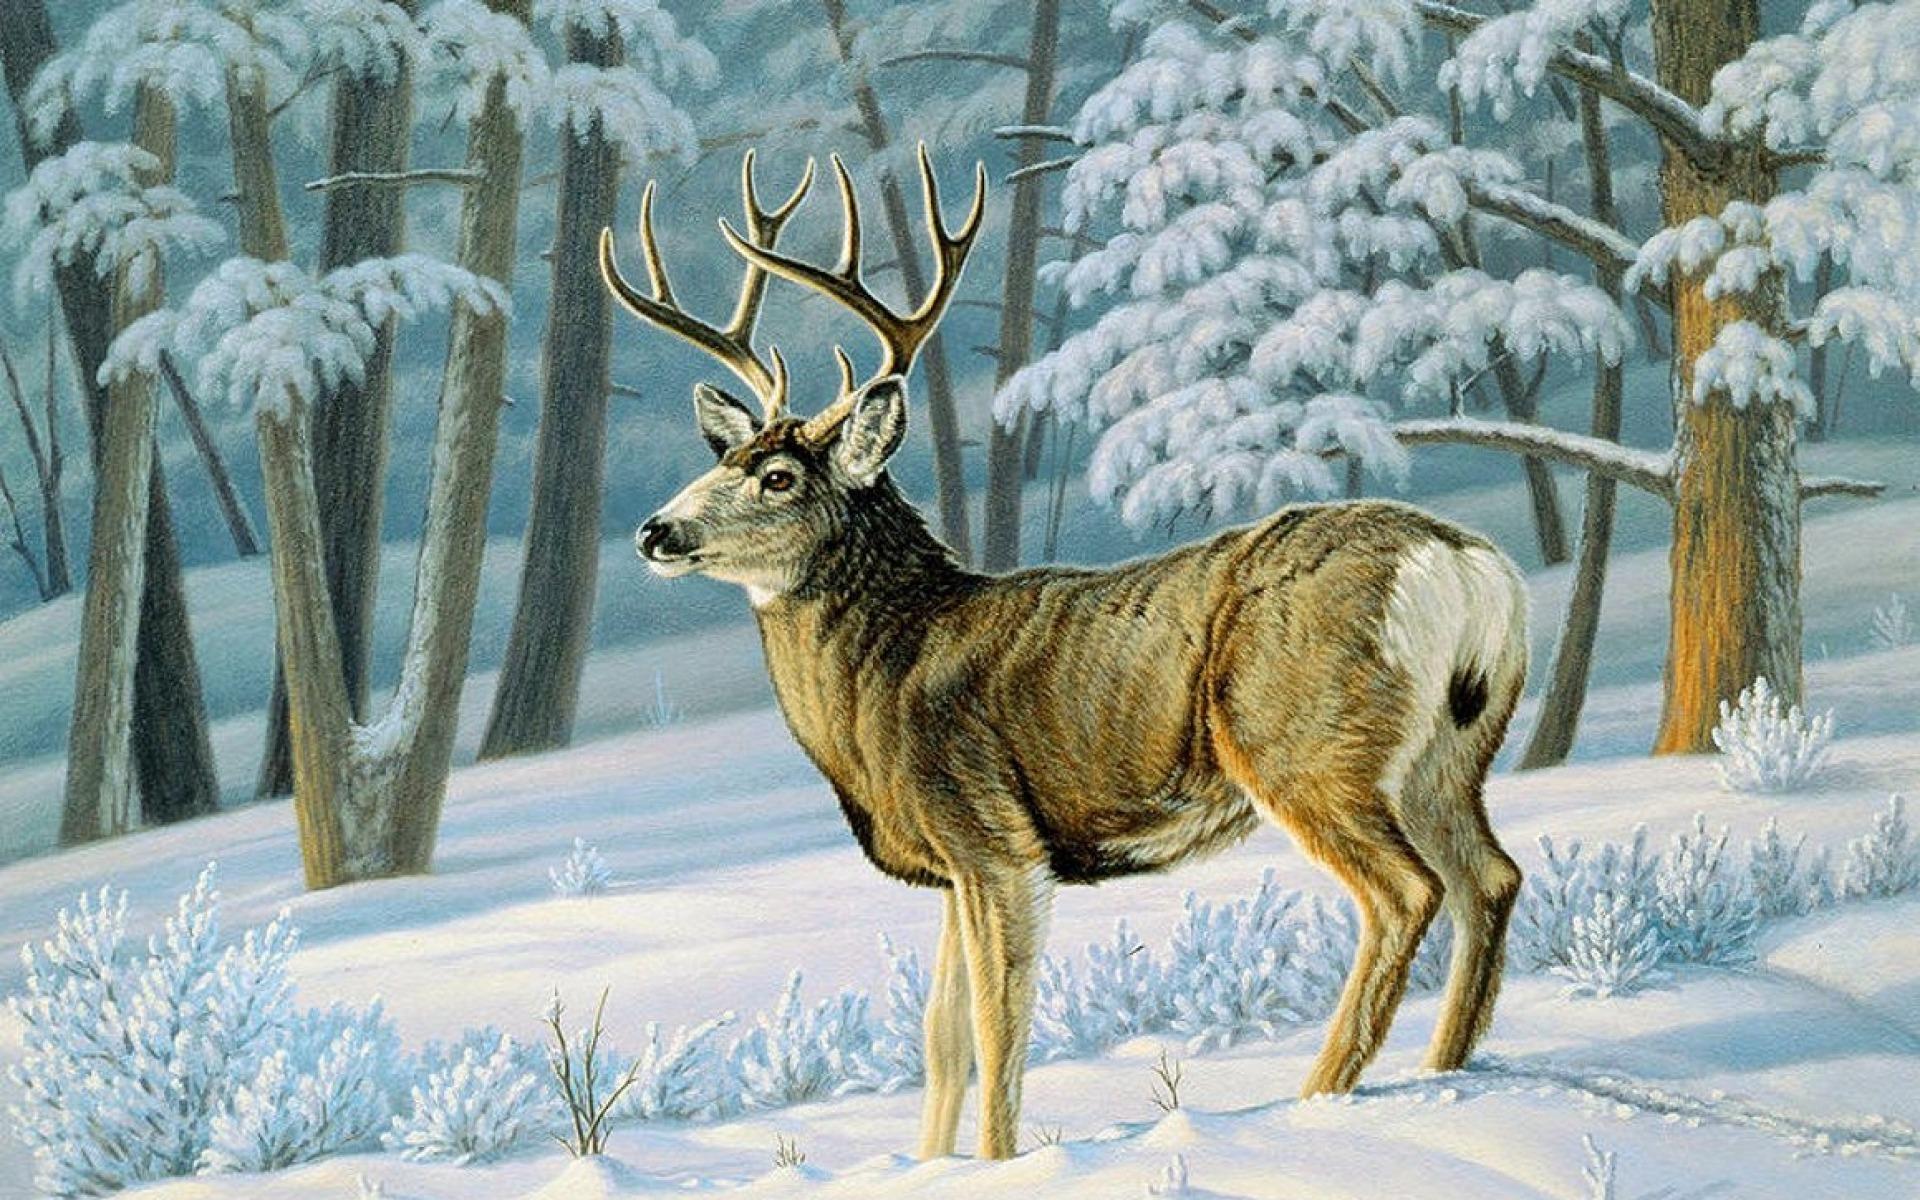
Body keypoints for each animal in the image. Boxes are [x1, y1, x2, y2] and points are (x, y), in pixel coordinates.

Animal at [599, 147, 1530, 1162]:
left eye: (777, 476)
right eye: (722, 460)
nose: (655, 531)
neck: (886, 671)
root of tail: (1468, 569)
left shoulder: (992, 834)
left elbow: (1001, 1029)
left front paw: (998, 1163)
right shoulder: (953, 866)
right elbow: (943, 1040)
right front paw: (931, 1165)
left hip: (1306, 743)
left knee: (1405, 893)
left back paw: (1317, 1096)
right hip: (1448, 756)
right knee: (1491, 878)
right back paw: (1445, 1070)